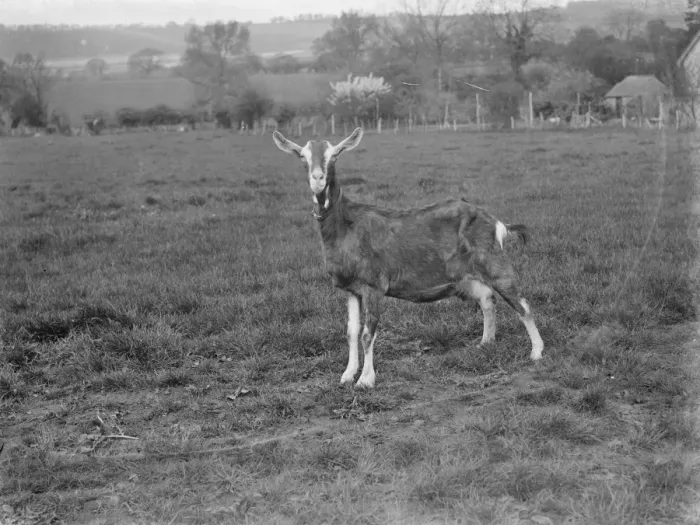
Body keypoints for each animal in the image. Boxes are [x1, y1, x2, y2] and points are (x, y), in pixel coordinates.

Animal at [272, 127, 544, 388]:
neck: (345, 225)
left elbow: (367, 334)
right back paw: (485, 343)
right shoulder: (350, 288)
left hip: (494, 261)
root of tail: (497, 223)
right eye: (302, 156)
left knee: (521, 303)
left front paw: (366, 380)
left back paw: (537, 352)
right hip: (464, 277)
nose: (317, 179)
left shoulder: (374, 285)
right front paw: (347, 375)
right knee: (487, 298)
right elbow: (351, 332)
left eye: (334, 155)